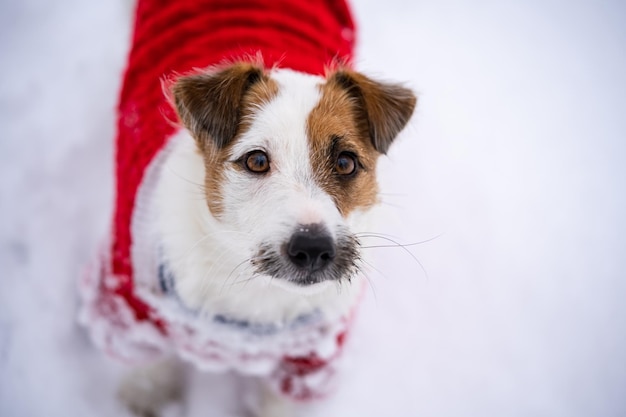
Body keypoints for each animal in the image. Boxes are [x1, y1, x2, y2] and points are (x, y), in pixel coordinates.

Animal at [79, 0, 414, 412]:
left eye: (346, 162)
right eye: (256, 160)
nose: (313, 248)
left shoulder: (309, 358)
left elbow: (278, 401)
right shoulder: (127, 305)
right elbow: (150, 357)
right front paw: (145, 392)